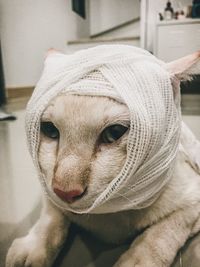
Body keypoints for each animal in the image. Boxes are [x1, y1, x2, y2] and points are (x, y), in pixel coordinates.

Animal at [5, 50, 200, 267]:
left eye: (114, 133)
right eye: (49, 130)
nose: (66, 192)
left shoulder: (193, 201)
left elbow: (162, 233)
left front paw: (137, 260)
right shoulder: (48, 189)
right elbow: (50, 216)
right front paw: (34, 246)